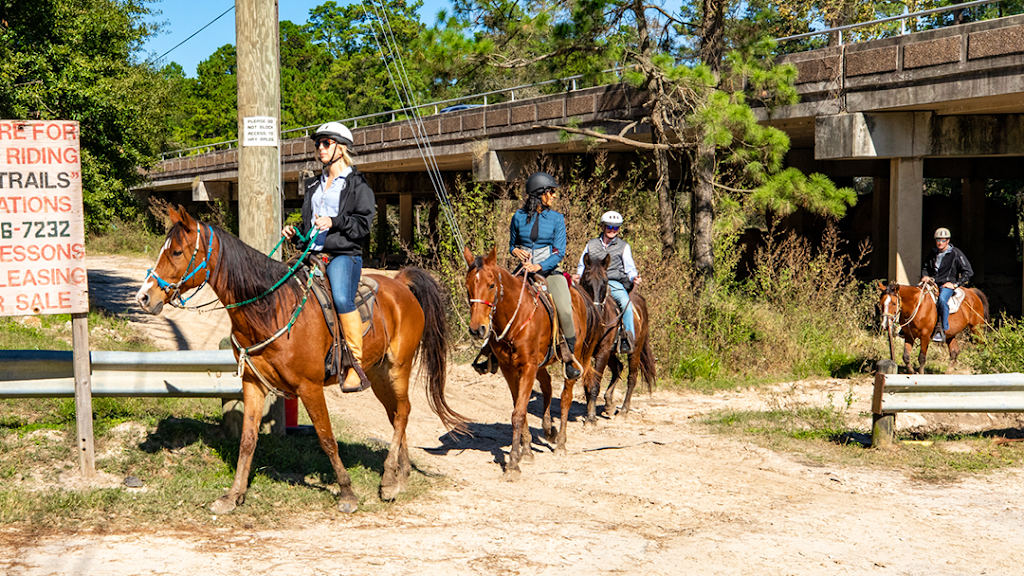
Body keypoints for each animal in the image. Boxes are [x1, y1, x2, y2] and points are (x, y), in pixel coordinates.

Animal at [135, 206, 464, 510]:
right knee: (395, 414)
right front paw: (233, 495)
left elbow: (327, 438)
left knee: (404, 411)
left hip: (398, 366)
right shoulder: (253, 383)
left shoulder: (310, 387)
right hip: (379, 372)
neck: (271, 309)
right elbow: (247, 440)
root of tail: (401, 284)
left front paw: (347, 493)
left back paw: (388, 479)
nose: (144, 297)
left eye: (177, 251)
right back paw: (398, 476)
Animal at [462, 243, 598, 477]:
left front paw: (513, 463)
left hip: (571, 359)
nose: (477, 329)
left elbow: (518, 412)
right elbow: (521, 408)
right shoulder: (509, 369)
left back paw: (560, 443)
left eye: (491, 285)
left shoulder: (527, 367)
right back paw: (548, 429)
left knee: (565, 398)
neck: (515, 317)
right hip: (540, 363)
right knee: (547, 385)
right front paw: (526, 450)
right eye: (468, 285)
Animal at [577, 253, 655, 420]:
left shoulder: (603, 352)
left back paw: (624, 409)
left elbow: (595, 383)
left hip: (634, 350)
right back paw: (608, 404)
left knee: (632, 377)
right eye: (586, 280)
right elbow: (587, 383)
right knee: (618, 367)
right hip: (611, 353)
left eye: (605, 282)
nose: (597, 311)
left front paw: (591, 417)